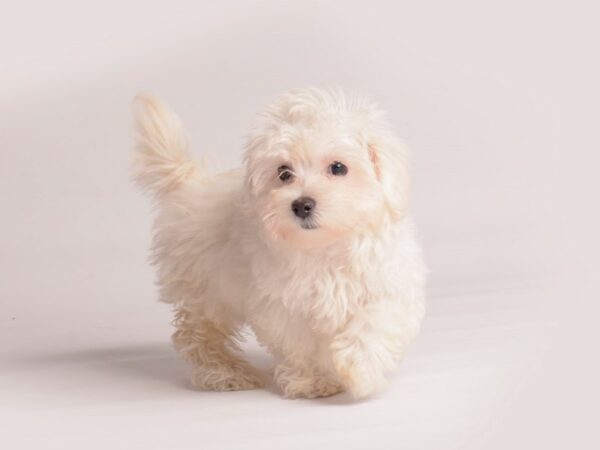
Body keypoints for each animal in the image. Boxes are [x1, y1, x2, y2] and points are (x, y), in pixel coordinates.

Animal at [131, 88, 424, 398]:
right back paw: (226, 373)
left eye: (338, 168)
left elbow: (376, 320)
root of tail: (190, 182)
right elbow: (300, 344)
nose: (302, 204)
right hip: (206, 288)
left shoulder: (390, 282)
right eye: (284, 172)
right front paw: (315, 380)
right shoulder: (282, 304)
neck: (324, 245)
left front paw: (358, 367)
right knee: (200, 334)